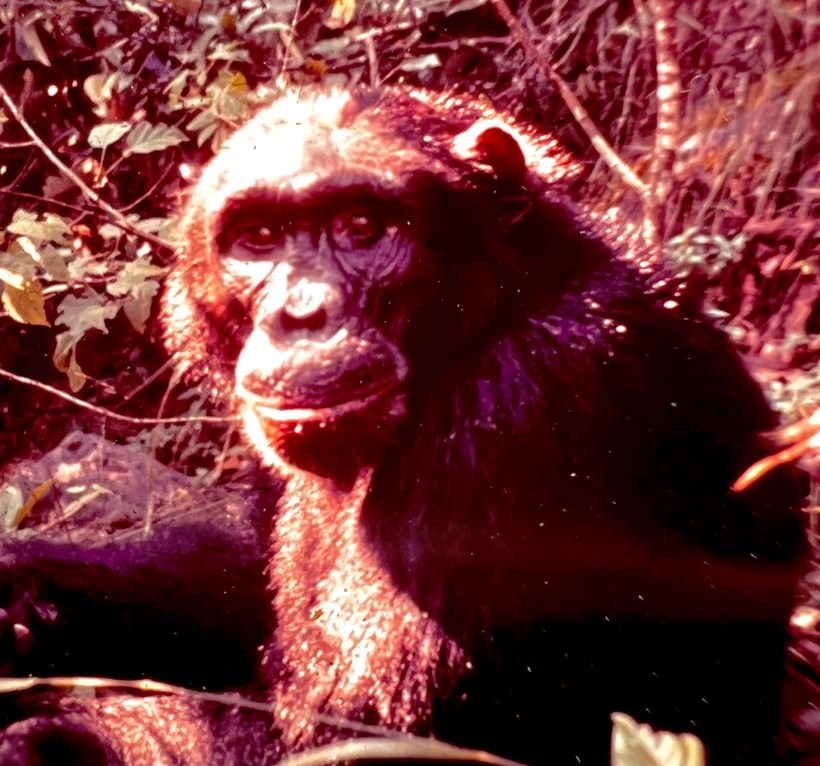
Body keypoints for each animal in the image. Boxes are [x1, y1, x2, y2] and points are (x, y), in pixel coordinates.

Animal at [0, 86, 808, 766]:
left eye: (361, 228)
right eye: (258, 238)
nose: (301, 312)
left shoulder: (519, 414)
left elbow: (373, 746)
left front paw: (59, 736)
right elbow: (247, 580)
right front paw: (25, 591)